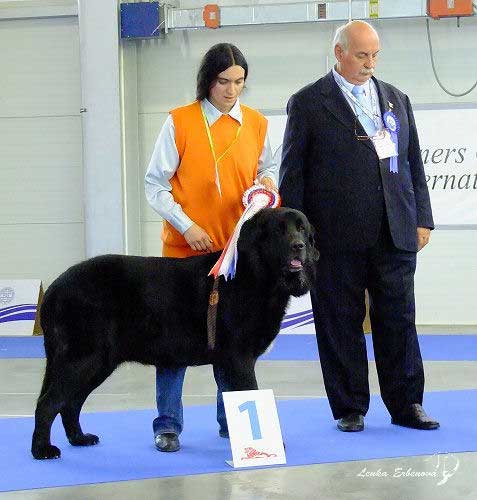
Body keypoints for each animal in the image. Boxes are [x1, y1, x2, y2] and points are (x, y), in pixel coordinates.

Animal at [31, 208, 318, 460]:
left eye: (302, 229)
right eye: (279, 231)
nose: (298, 246)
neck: (256, 273)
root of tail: (55, 288)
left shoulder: (228, 362)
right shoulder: (240, 359)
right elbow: (250, 393)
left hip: (98, 363)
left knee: (70, 403)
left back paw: (79, 438)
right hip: (84, 358)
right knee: (48, 403)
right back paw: (42, 450)